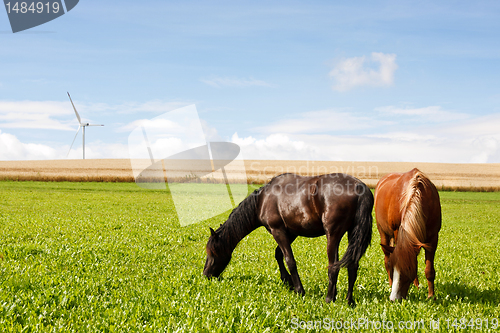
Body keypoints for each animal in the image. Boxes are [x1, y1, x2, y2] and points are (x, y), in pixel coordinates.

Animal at [201, 172, 374, 304]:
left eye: (212, 252)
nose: (205, 275)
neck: (263, 200)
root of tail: (360, 187)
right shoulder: (291, 232)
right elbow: (279, 254)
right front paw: (287, 281)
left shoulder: (278, 231)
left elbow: (289, 260)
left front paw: (299, 290)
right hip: (352, 234)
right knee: (352, 265)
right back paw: (349, 300)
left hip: (333, 235)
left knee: (333, 266)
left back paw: (329, 298)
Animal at [376, 167, 442, 300]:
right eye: (393, 268)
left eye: (408, 269)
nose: (393, 299)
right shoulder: (398, 232)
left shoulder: (433, 239)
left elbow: (429, 270)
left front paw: (431, 296)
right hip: (383, 233)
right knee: (386, 257)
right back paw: (390, 283)